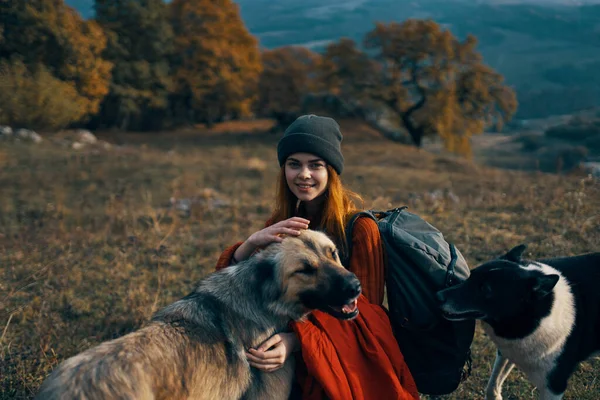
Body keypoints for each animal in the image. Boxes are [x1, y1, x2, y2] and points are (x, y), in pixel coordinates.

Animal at [436, 244, 600, 400]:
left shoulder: (554, 386)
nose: (438, 295)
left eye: (485, 289)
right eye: (471, 276)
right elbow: (493, 384)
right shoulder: (508, 350)